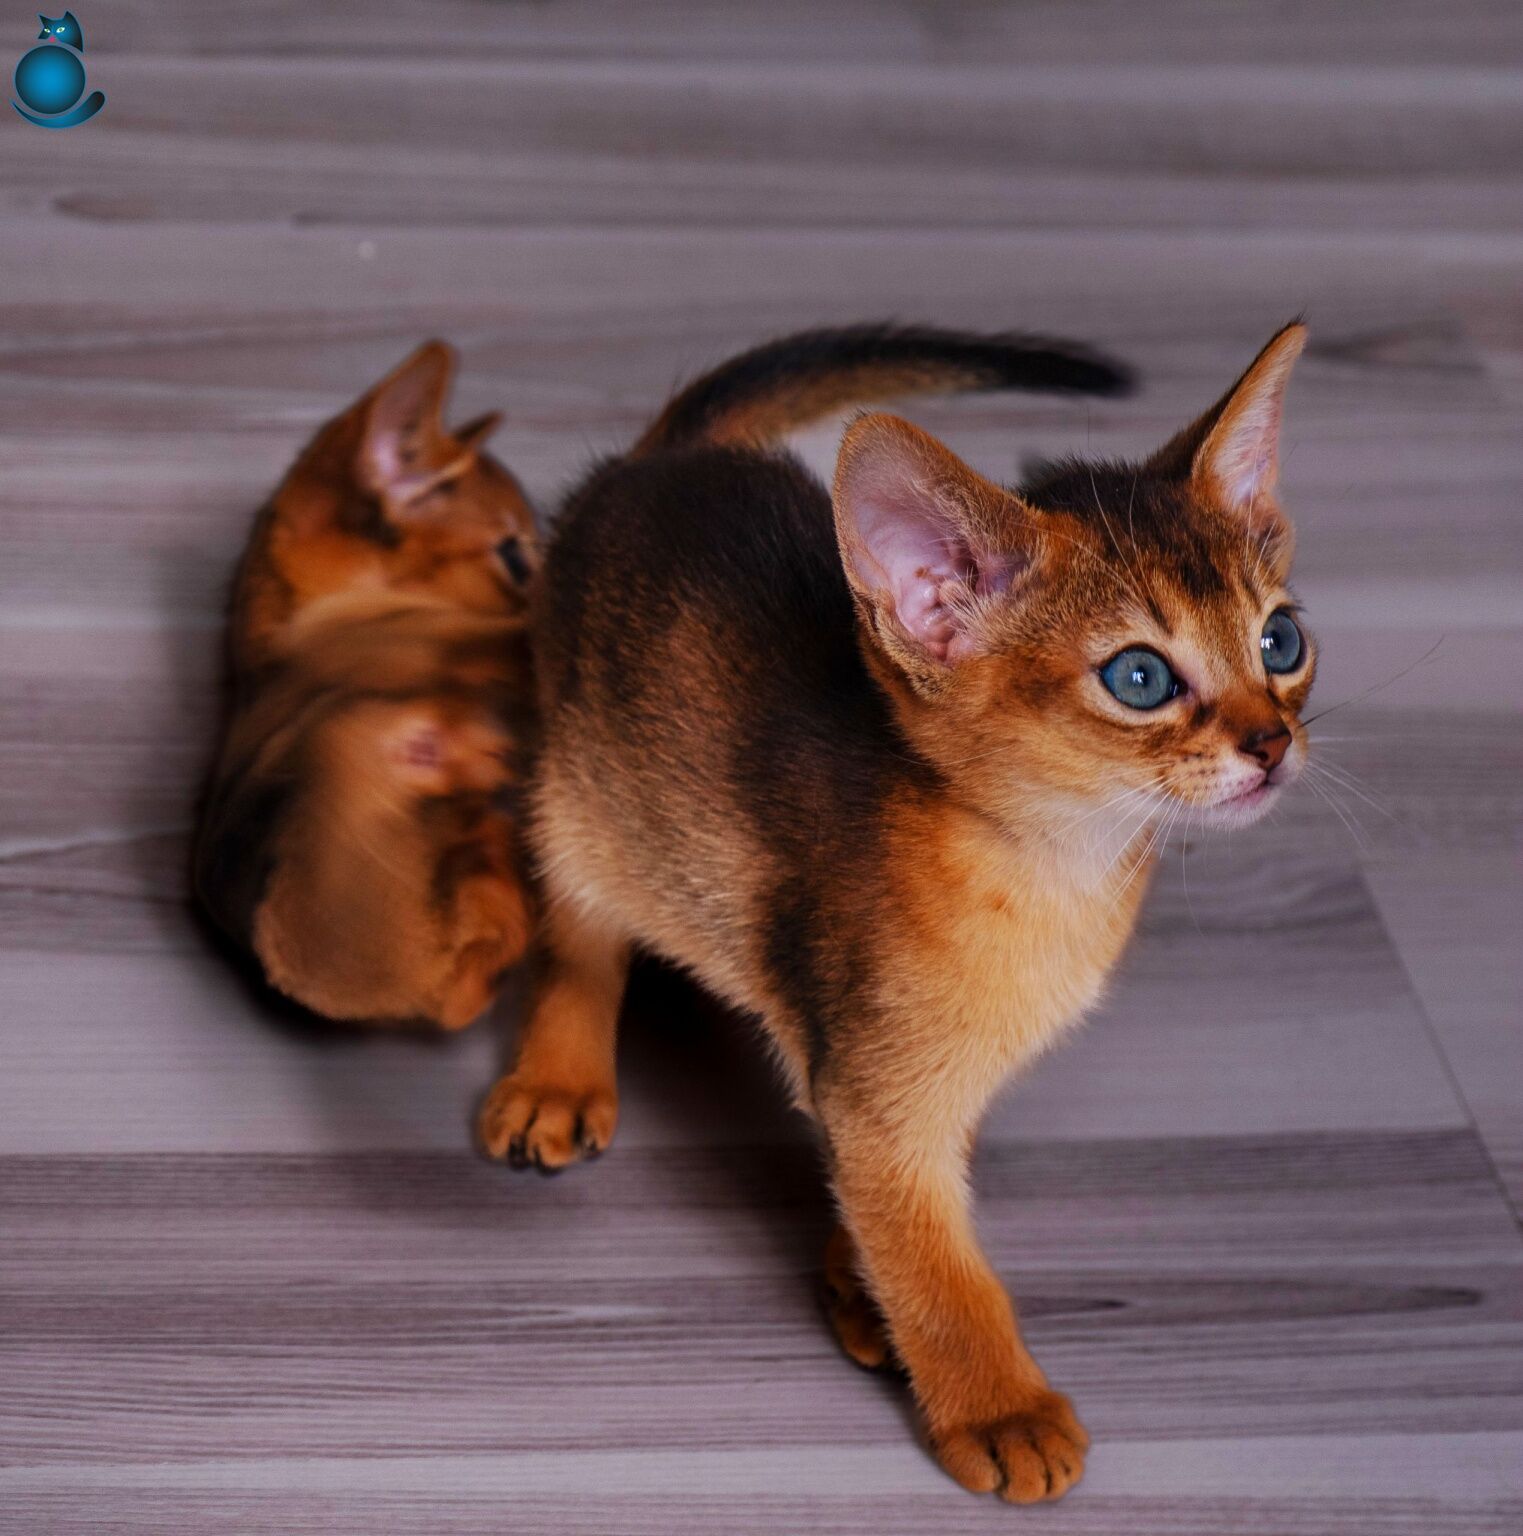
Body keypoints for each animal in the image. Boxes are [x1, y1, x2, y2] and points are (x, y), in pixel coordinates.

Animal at [475, 321, 1314, 1502]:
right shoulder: (878, 1083)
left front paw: (858, 1278)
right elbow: (934, 1262)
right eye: (1140, 677)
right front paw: (998, 1405)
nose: (1270, 742)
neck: (1052, 875)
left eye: (1279, 644)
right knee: (579, 931)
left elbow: (895, 1206)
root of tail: (668, 456)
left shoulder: (901, 1090)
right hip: (581, 794)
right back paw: (556, 1078)